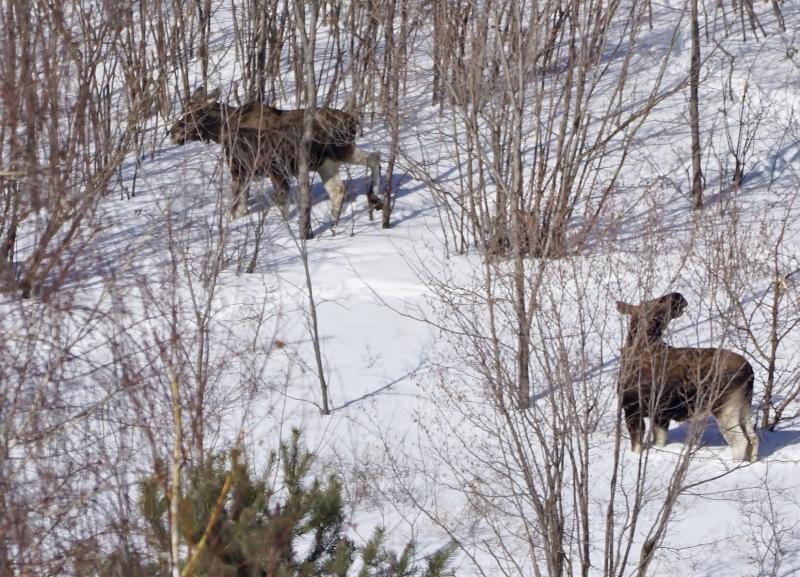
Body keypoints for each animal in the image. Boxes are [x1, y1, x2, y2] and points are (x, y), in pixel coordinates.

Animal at [168, 88, 382, 236]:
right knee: (344, 183)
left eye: (194, 114)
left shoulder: (265, 169)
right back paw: (338, 218)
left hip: (339, 150)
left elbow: (261, 206)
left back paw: (374, 196)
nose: (172, 132)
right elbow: (241, 207)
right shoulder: (251, 171)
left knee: (372, 159)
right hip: (327, 161)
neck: (223, 131)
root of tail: (353, 120)